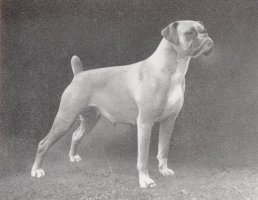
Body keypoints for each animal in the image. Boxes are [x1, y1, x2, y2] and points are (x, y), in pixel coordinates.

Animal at [30, 19, 214, 188]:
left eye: (204, 31)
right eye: (190, 33)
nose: (209, 41)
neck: (169, 70)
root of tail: (79, 74)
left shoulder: (169, 121)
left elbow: (163, 150)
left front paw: (163, 170)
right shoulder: (145, 123)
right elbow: (143, 157)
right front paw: (145, 180)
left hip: (90, 119)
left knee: (76, 135)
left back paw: (73, 157)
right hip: (65, 119)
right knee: (43, 143)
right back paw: (37, 170)